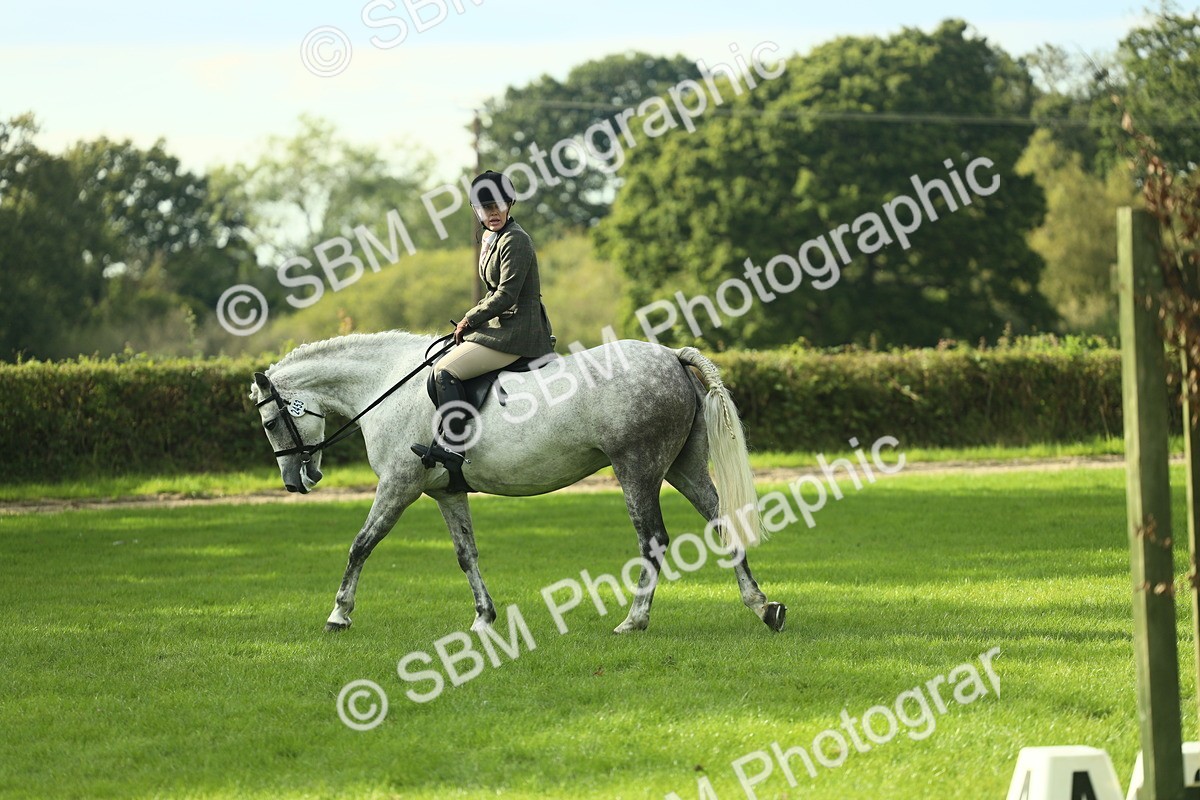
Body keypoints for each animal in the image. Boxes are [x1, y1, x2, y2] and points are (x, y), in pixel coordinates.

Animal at [248, 331, 786, 635]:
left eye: (271, 423)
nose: (296, 482)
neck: (387, 383)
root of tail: (672, 356)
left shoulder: (399, 486)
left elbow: (361, 544)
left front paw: (339, 614)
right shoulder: (446, 492)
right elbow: (466, 554)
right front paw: (483, 618)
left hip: (637, 468)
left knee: (652, 539)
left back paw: (634, 620)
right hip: (682, 467)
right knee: (722, 522)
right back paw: (762, 607)